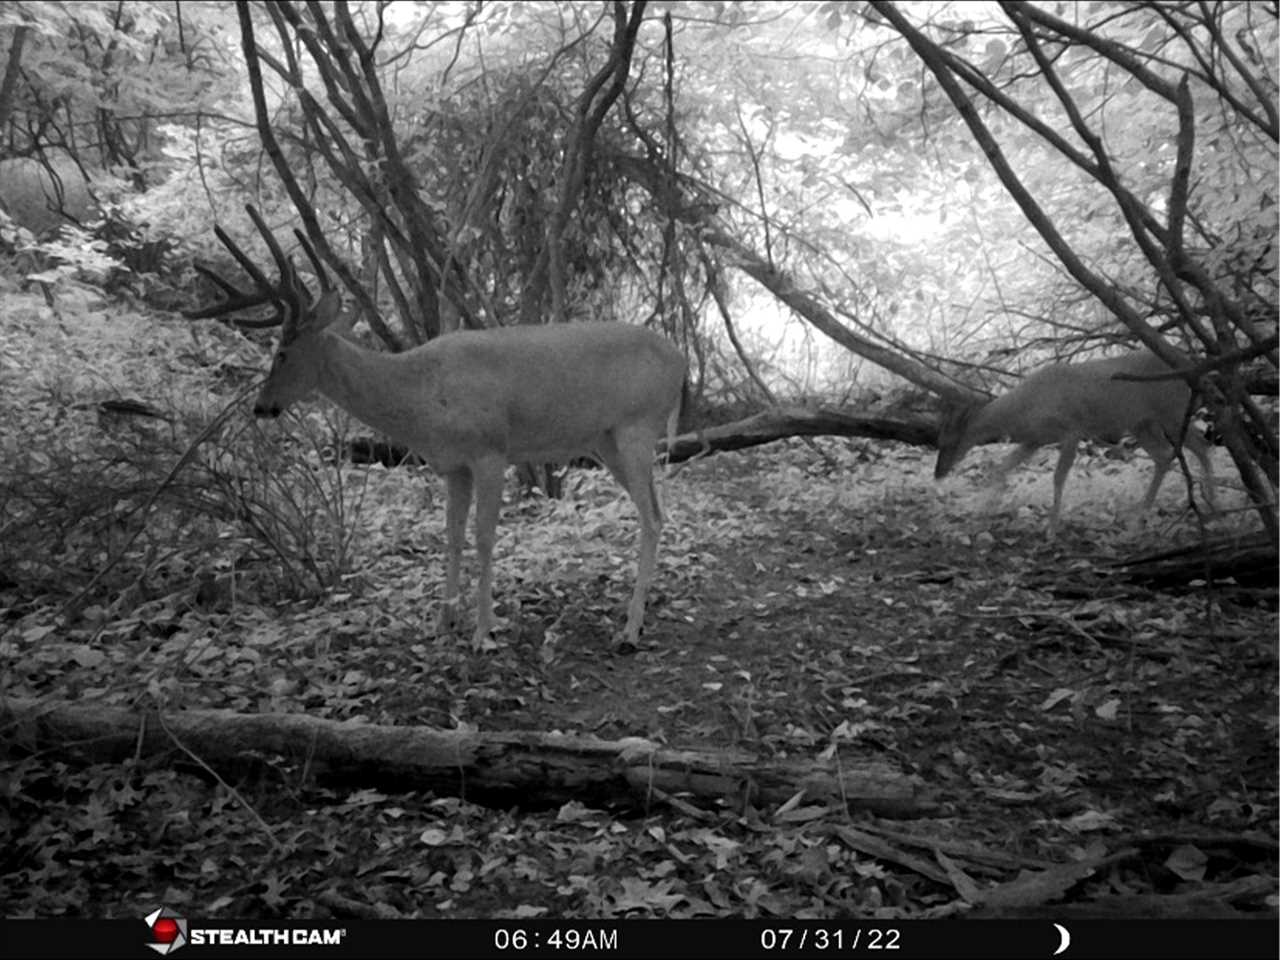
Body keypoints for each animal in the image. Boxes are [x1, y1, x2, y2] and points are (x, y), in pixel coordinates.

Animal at [185, 207, 686, 650]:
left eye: (282, 351)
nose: (261, 407)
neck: (421, 396)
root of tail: (680, 361)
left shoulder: (490, 450)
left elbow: (484, 538)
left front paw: (484, 633)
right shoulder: (453, 465)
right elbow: (452, 536)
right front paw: (443, 623)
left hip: (637, 426)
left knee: (652, 516)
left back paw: (629, 629)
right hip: (606, 441)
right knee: (656, 512)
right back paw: (636, 617)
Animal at [936, 350, 1213, 535]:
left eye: (949, 441)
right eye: (938, 440)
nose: (938, 473)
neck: (1025, 410)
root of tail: (1188, 363)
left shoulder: (1072, 430)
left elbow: (1058, 476)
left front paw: (1051, 529)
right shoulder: (1035, 439)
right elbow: (1002, 467)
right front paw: (986, 510)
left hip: (1172, 411)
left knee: (1200, 445)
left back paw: (1213, 506)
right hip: (1142, 422)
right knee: (1164, 454)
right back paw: (1140, 519)